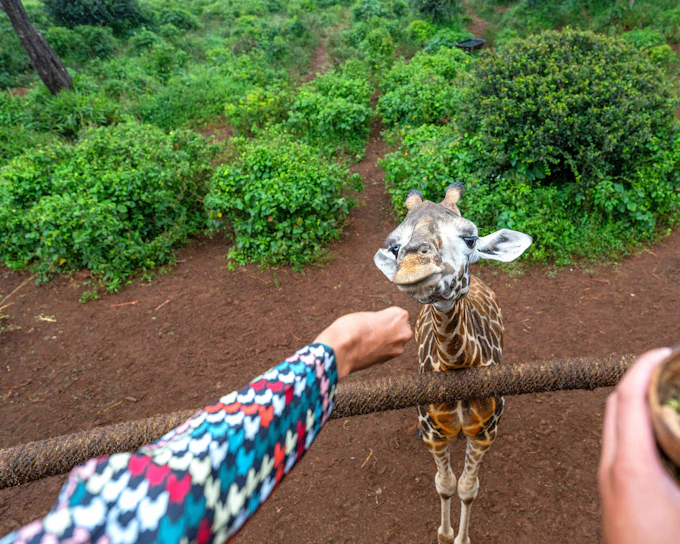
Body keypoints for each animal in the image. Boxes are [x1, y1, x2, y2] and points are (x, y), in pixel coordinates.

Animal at [373, 183, 532, 544]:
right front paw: (445, 535)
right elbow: (444, 484)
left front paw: (462, 538)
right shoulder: (436, 435)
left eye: (470, 239)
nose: (414, 265)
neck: (455, 366)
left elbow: (468, 488)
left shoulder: (484, 434)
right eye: (395, 246)